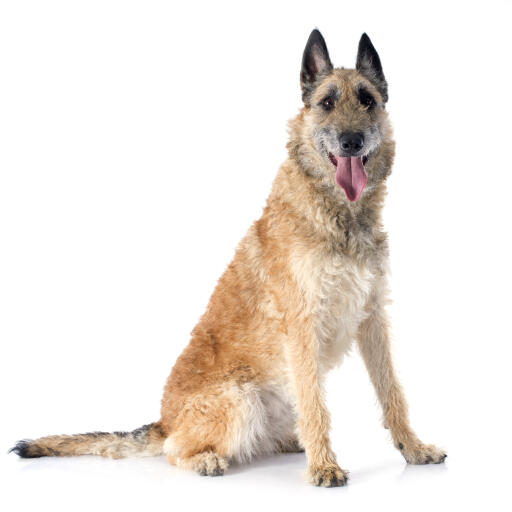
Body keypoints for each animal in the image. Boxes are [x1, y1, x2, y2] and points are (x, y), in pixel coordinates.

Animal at [11, 30, 444, 486]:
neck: (338, 213)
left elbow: (392, 393)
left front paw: (413, 448)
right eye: (327, 102)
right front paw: (324, 466)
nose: (351, 141)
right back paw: (206, 459)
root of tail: (163, 421)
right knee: (173, 450)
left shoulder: (372, 317)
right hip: (240, 399)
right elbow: (317, 406)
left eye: (367, 100)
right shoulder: (303, 326)